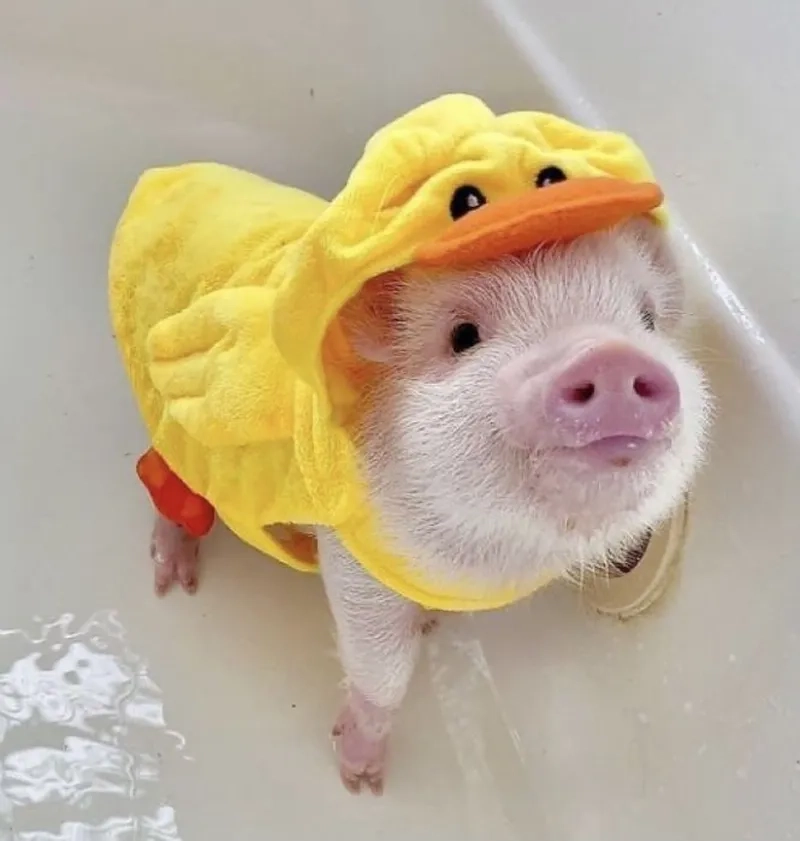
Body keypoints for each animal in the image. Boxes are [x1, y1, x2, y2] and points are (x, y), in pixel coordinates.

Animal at [150, 218, 711, 794]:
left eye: (647, 319)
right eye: (463, 336)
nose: (609, 355)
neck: (495, 558)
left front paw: (427, 625)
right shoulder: (357, 557)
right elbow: (381, 665)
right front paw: (362, 780)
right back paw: (173, 580)